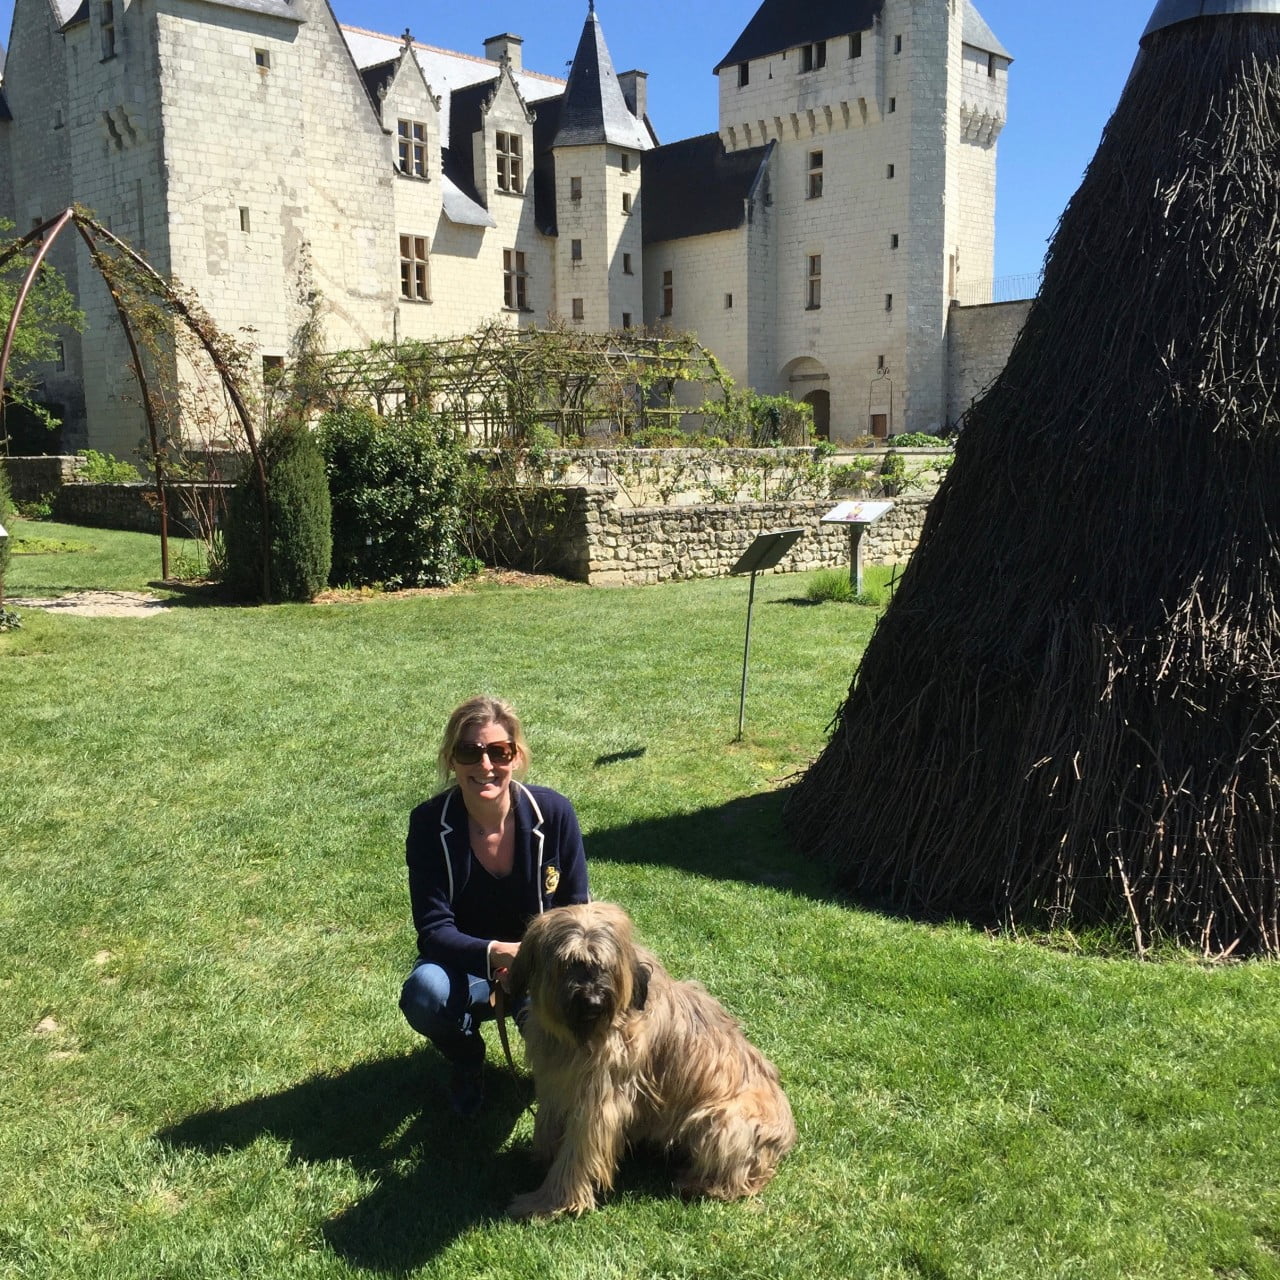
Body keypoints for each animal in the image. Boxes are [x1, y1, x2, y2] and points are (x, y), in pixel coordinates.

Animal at [504, 901, 793, 1218]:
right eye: (569, 963)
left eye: (605, 966)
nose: (593, 1002)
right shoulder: (557, 1084)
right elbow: (549, 1123)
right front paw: (541, 1158)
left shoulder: (599, 1102)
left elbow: (577, 1154)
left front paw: (548, 1202)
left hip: (722, 1122)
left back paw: (697, 1183)